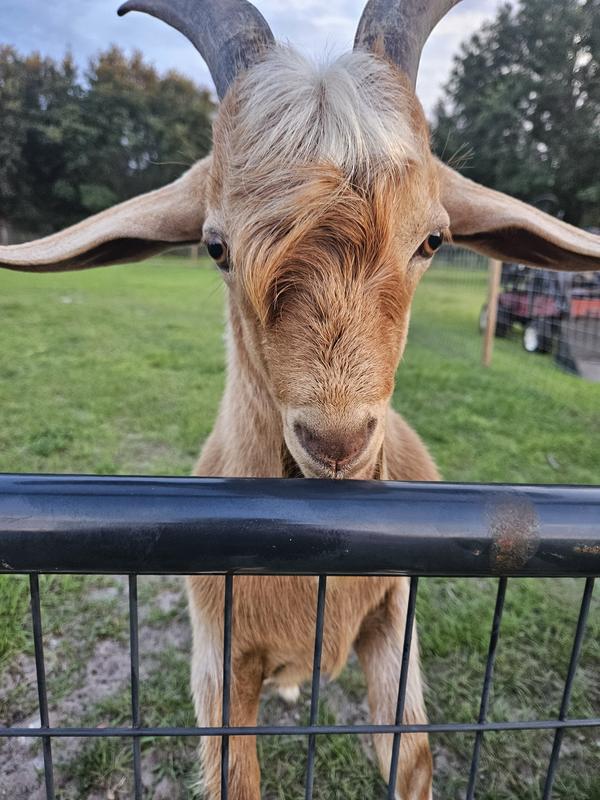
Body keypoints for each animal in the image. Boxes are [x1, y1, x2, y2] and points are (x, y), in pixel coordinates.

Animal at [2, 1, 599, 797]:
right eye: (216, 247)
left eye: (433, 240)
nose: (337, 441)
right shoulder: (219, 663)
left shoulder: (396, 621)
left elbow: (411, 754)